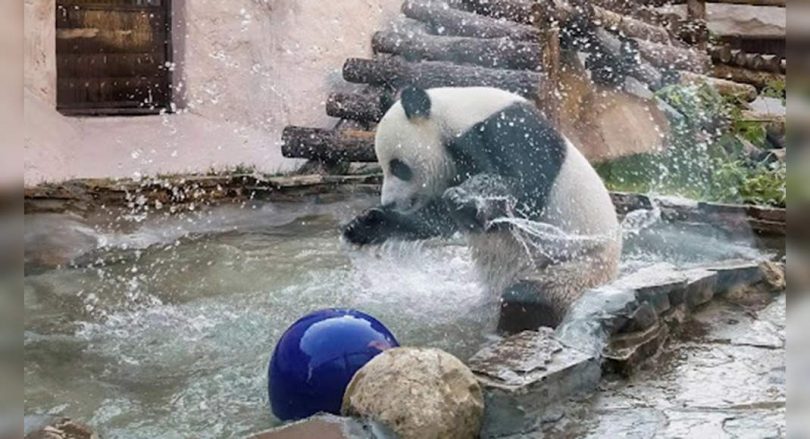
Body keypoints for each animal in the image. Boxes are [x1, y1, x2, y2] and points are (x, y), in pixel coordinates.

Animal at [342, 86, 622, 328]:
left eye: (399, 167)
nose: (389, 201)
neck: (455, 116)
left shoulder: (511, 130)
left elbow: (524, 193)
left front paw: (468, 200)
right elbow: (438, 219)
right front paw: (365, 225)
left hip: (575, 266)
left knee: (531, 296)